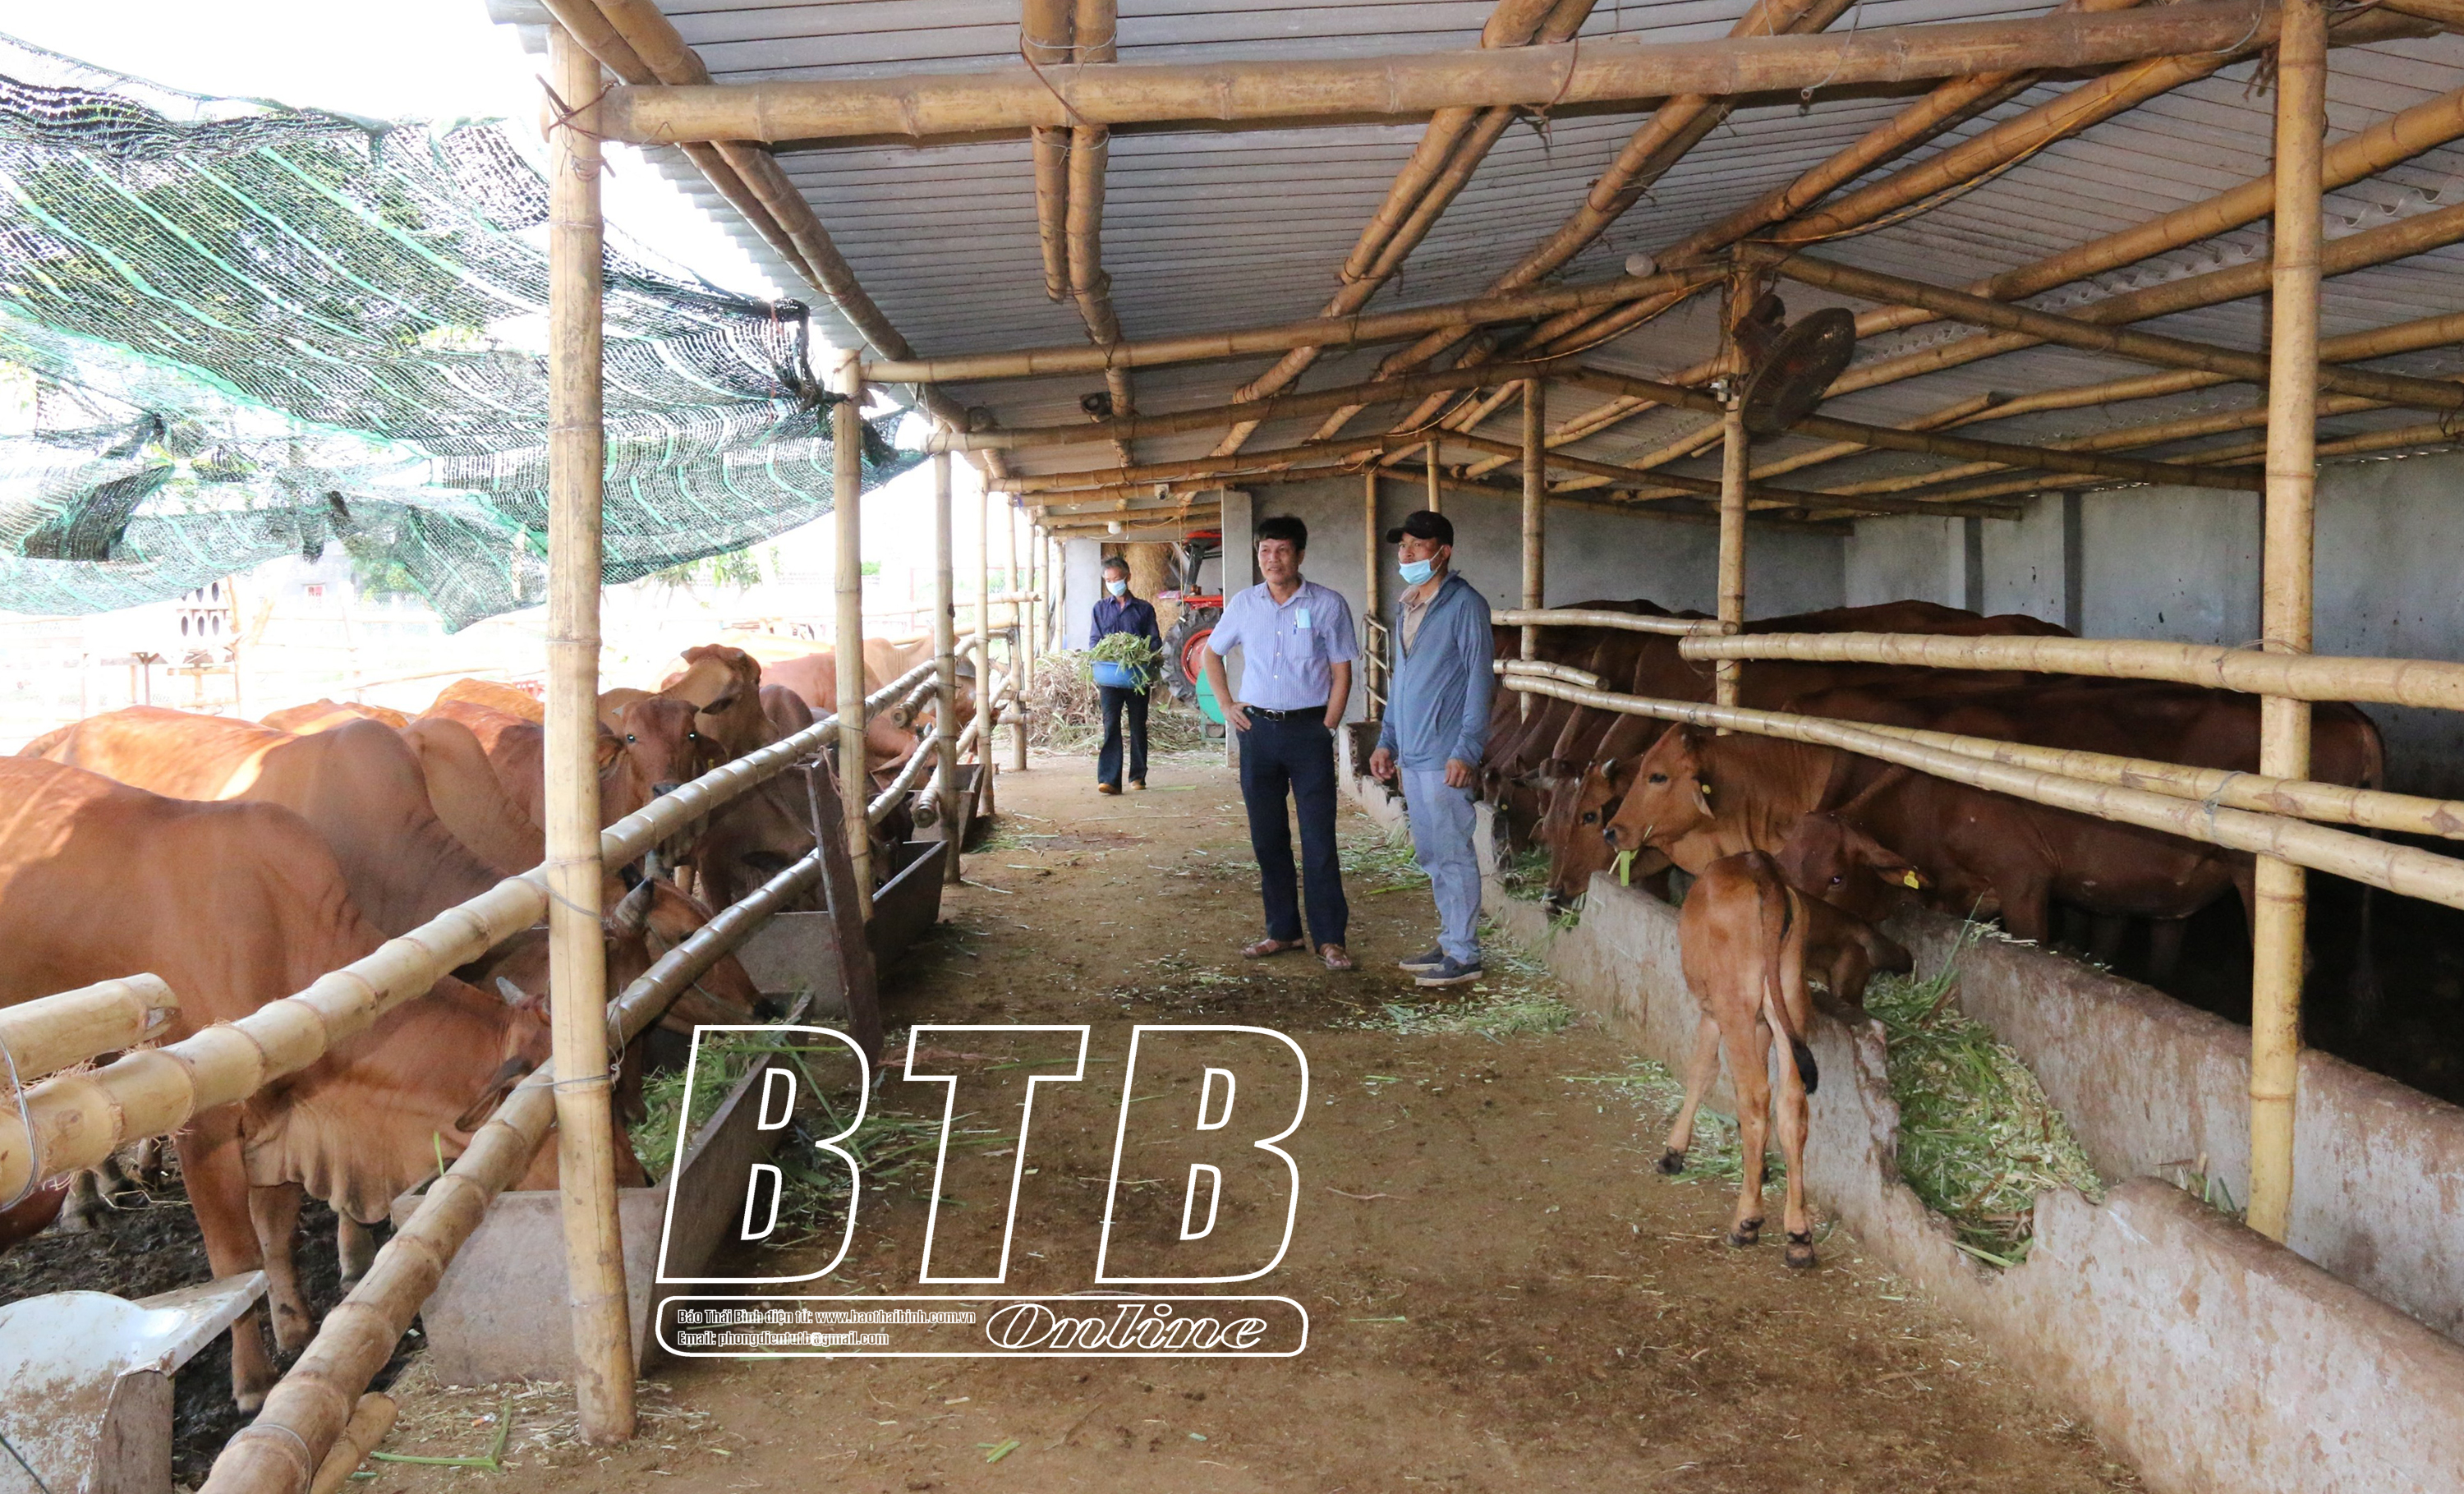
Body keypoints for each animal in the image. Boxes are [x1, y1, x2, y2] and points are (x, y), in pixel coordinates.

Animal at [0, 758, 634, 1408]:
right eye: (554, 1120)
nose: (636, 1176)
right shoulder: (205, 1132)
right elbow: (236, 1263)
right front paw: (253, 1382)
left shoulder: (277, 1121)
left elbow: (276, 1236)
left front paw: (297, 1327)